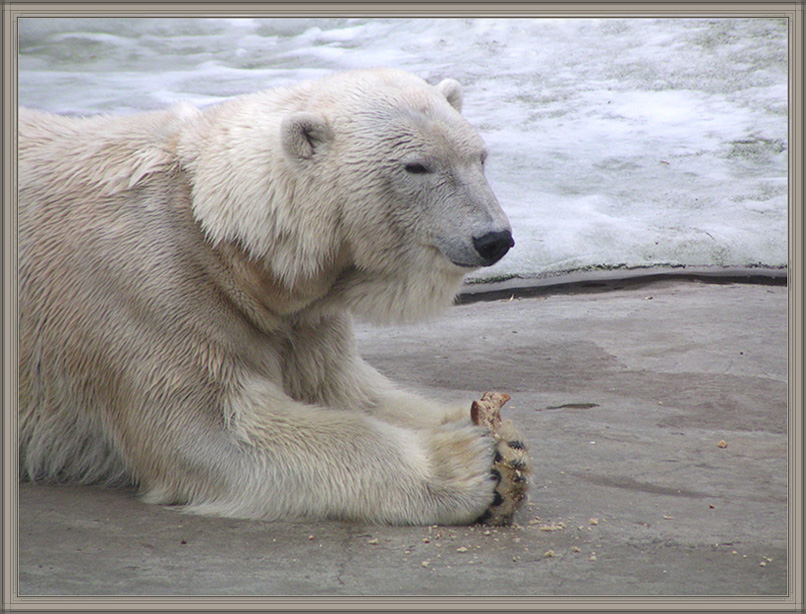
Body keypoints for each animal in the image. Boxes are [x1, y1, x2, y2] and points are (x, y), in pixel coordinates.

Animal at [20, 68, 524, 528]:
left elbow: (349, 390)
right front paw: (462, 464)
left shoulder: (303, 318)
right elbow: (214, 430)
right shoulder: (148, 291)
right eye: (416, 166)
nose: (494, 238)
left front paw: (504, 444)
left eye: (480, 158)